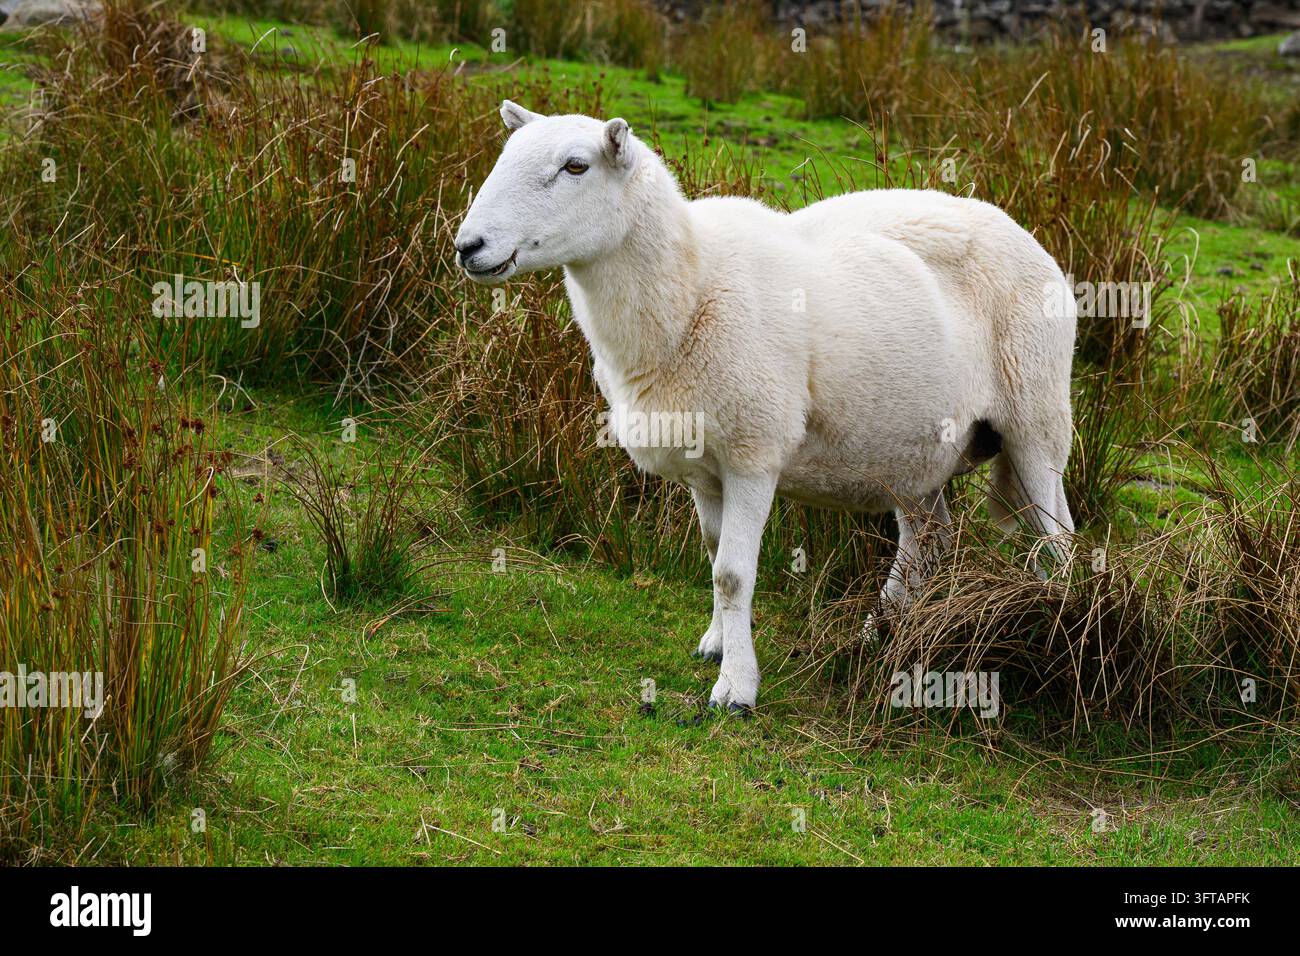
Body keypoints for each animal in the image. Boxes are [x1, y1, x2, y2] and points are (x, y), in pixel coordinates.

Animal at [456, 101, 1077, 714]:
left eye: (576, 166)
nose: (468, 246)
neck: (691, 286)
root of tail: (1024, 234)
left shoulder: (753, 455)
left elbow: (732, 573)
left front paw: (735, 687)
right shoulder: (702, 468)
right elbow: (712, 555)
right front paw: (714, 642)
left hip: (1036, 417)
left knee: (1058, 540)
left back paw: (1061, 633)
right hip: (915, 450)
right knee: (929, 540)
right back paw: (880, 633)